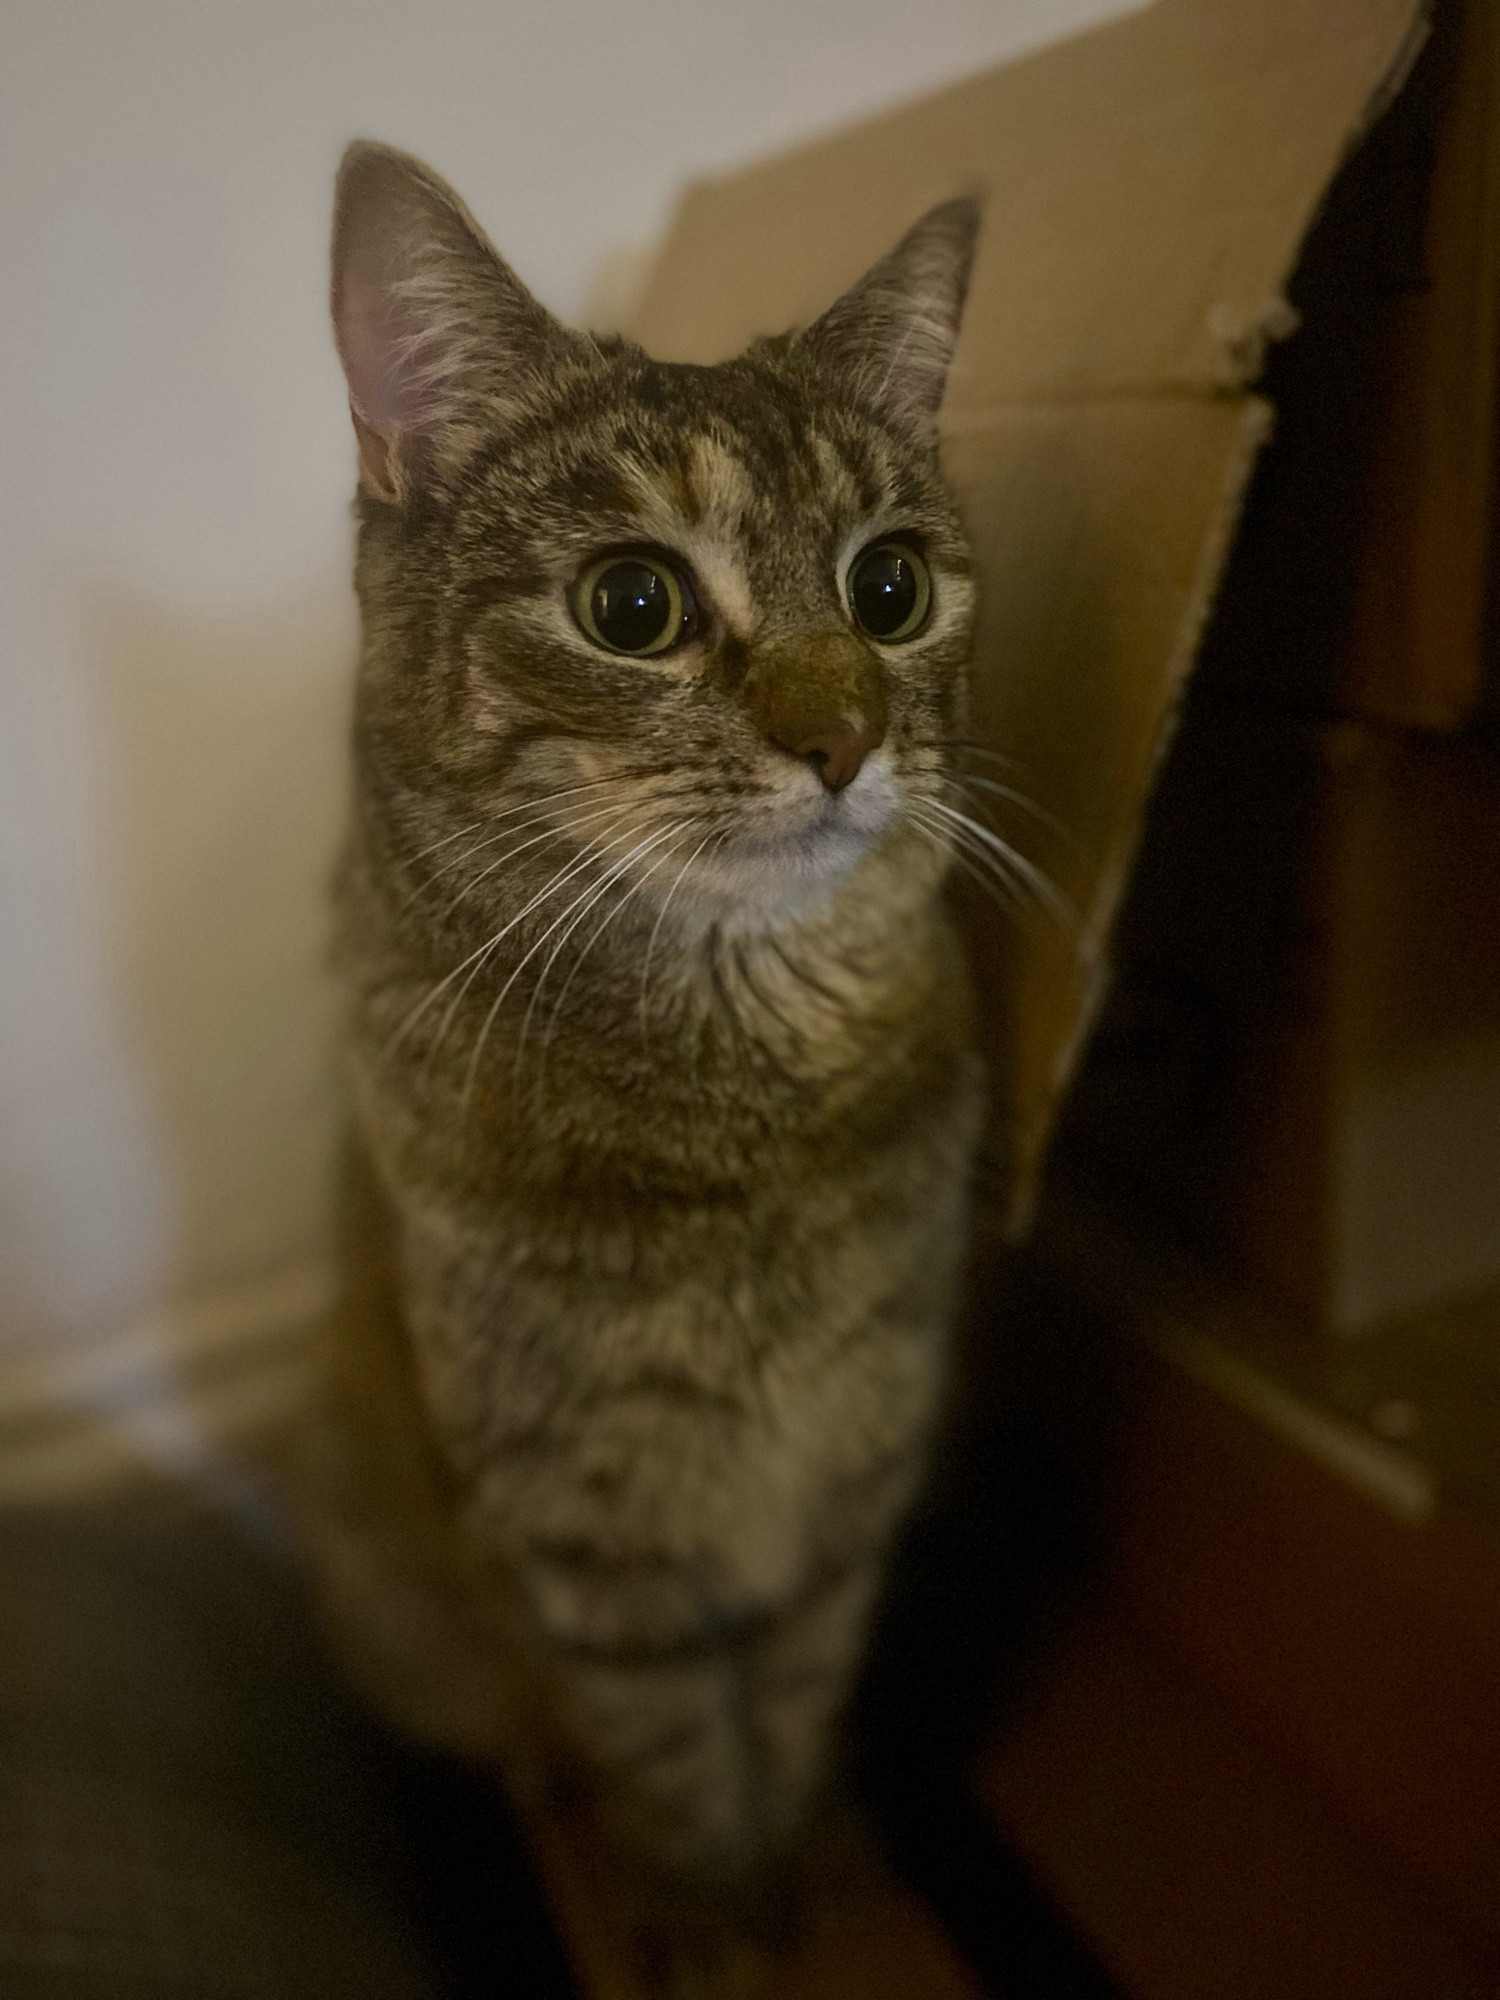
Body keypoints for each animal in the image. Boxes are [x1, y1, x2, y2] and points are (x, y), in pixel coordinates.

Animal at [306, 137, 988, 1984]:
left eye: (891, 586)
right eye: (633, 605)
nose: (843, 737)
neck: (751, 1118)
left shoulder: (854, 1478)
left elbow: (803, 1709)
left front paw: (816, 1869)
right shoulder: (591, 1550)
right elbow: (674, 1759)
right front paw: (711, 1919)